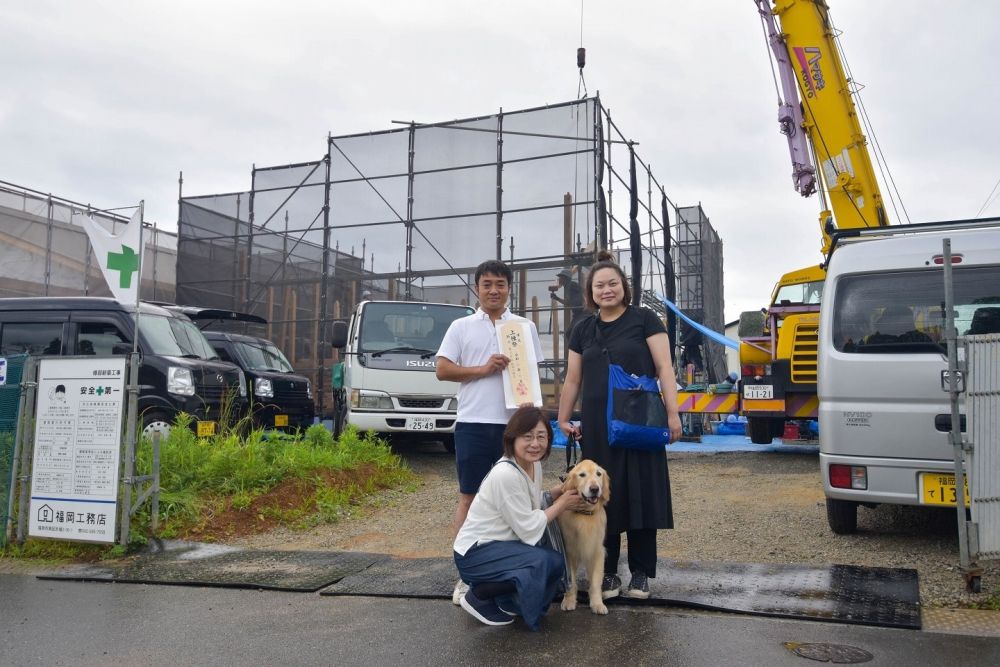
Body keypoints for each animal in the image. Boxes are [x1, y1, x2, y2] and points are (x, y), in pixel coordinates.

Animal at [556, 460, 608, 616]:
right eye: (582, 474)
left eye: (598, 473)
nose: (594, 489)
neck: (585, 515)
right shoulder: (569, 551)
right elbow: (571, 581)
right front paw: (569, 601)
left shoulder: (597, 550)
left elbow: (596, 582)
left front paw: (597, 604)